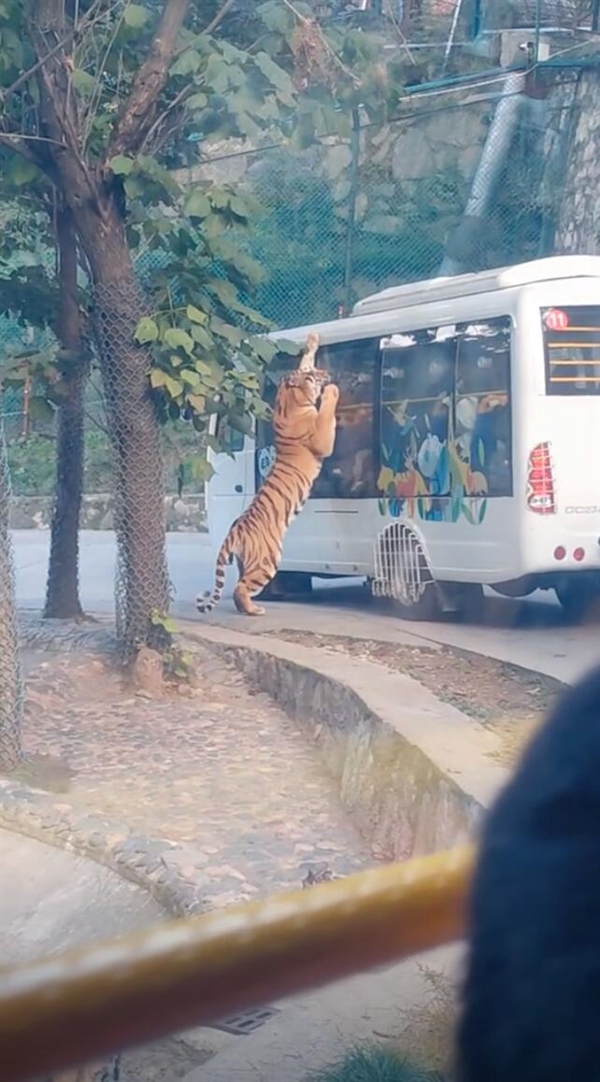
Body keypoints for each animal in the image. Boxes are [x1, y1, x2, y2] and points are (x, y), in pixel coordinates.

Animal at [195, 328, 337, 618]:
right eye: (314, 376)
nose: (326, 374)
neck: (288, 397)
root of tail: (233, 532)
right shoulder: (321, 438)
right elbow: (326, 414)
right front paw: (331, 391)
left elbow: (304, 357)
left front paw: (312, 339)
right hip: (267, 560)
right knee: (240, 587)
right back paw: (254, 610)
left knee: (239, 585)